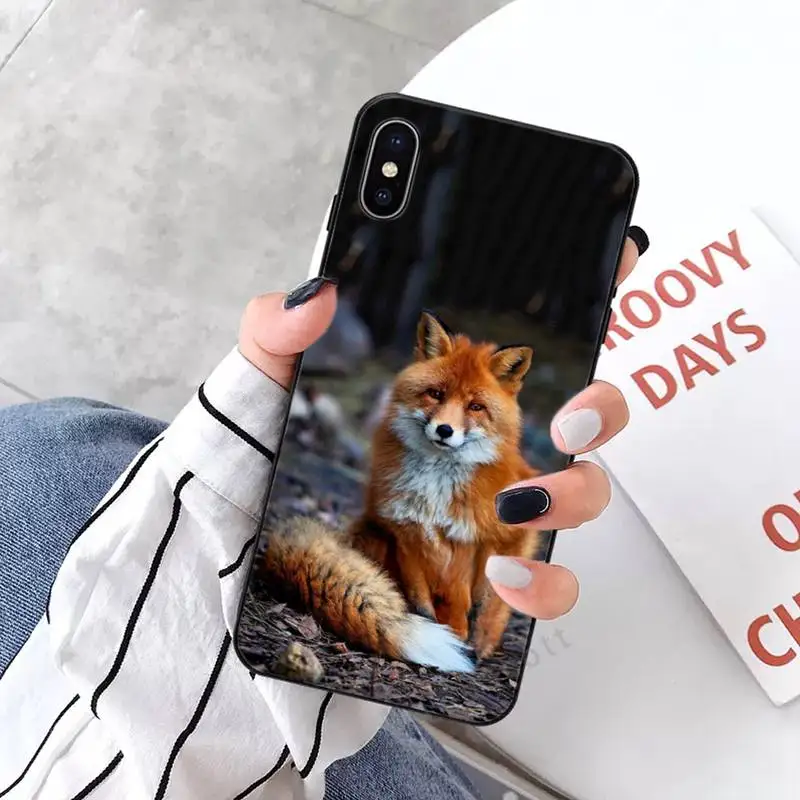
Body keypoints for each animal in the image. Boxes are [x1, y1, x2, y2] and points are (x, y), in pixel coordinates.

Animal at [262, 311, 542, 673]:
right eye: (435, 394)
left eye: (476, 407)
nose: (445, 430)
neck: (436, 490)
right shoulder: (403, 531)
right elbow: (421, 601)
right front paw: (441, 636)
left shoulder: (478, 539)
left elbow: (466, 602)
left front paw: (465, 641)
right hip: (372, 534)